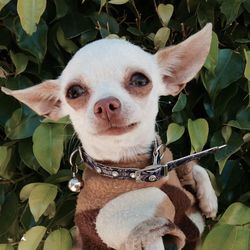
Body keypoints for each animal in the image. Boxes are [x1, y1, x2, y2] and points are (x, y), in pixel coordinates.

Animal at [0, 23, 217, 248]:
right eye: (74, 92)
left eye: (140, 80)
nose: (105, 104)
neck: (130, 167)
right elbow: (152, 226)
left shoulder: (171, 162)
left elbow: (194, 166)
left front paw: (209, 200)